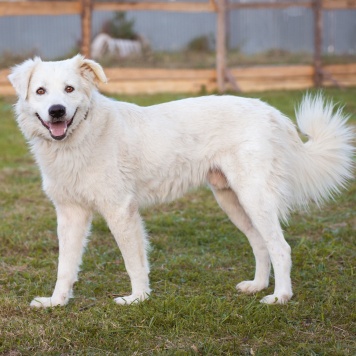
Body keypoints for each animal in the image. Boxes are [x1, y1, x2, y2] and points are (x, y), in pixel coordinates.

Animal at [7, 55, 354, 306]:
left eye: (69, 90)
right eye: (40, 91)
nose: (56, 111)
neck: (80, 138)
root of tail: (271, 112)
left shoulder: (120, 210)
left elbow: (133, 261)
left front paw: (137, 299)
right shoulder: (70, 213)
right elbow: (65, 266)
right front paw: (56, 302)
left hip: (255, 198)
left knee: (280, 247)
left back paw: (280, 297)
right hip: (232, 200)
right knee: (260, 243)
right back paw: (256, 286)